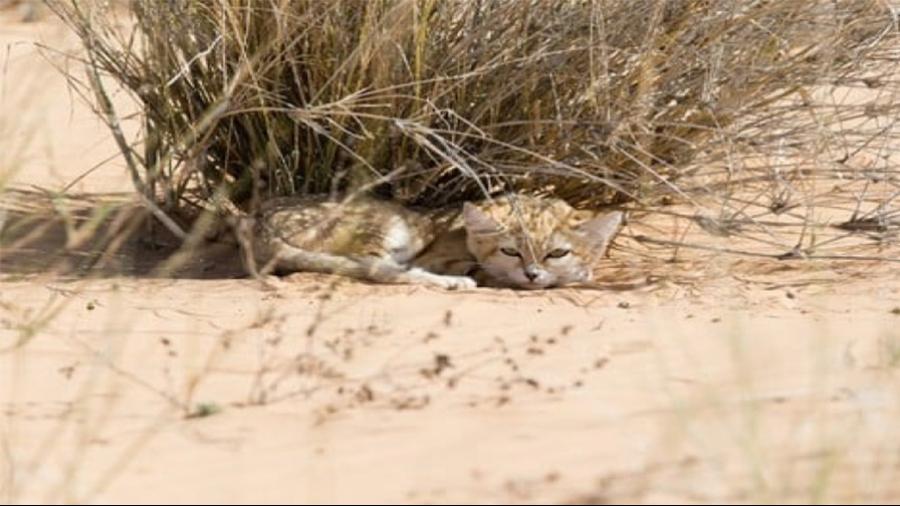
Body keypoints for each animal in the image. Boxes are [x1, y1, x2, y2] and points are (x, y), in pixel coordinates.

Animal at [236, 193, 624, 290]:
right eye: (510, 251)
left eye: (557, 252)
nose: (532, 274)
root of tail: (257, 222)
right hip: (394, 227)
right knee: (378, 268)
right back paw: (452, 283)